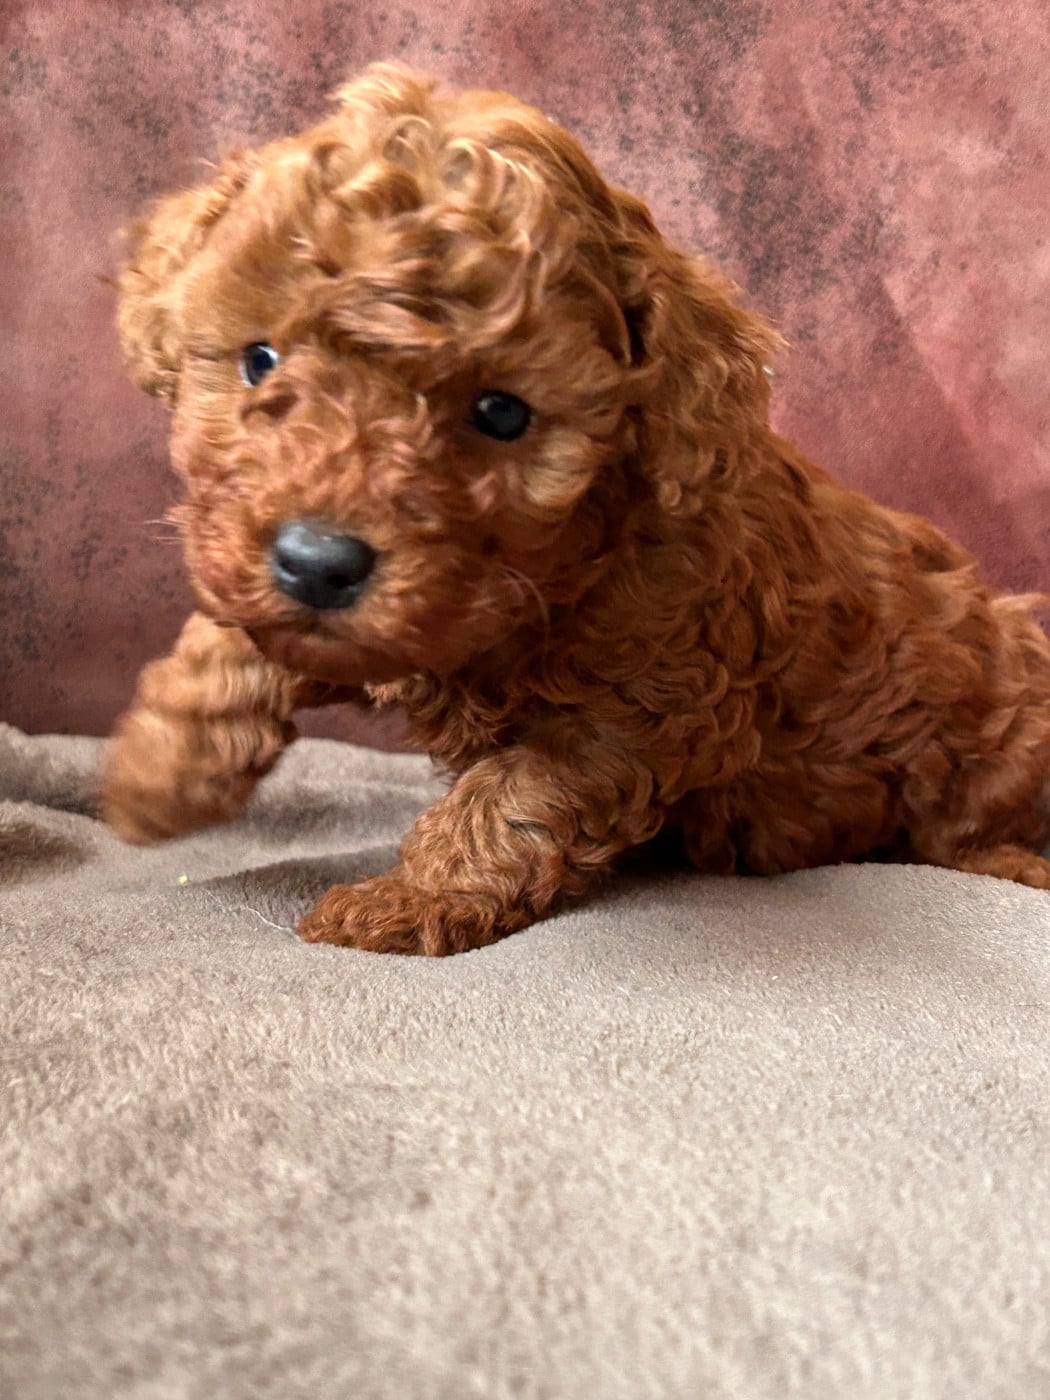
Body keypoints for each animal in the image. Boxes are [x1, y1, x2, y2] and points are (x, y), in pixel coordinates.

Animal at [101, 63, 1050, 953]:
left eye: (501, 413)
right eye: (259, 360)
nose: (317, 562)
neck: (568, 555)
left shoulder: (640, 710)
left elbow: (508, 798)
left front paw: (410, 901)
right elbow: (241, 635)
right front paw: (159, 766)